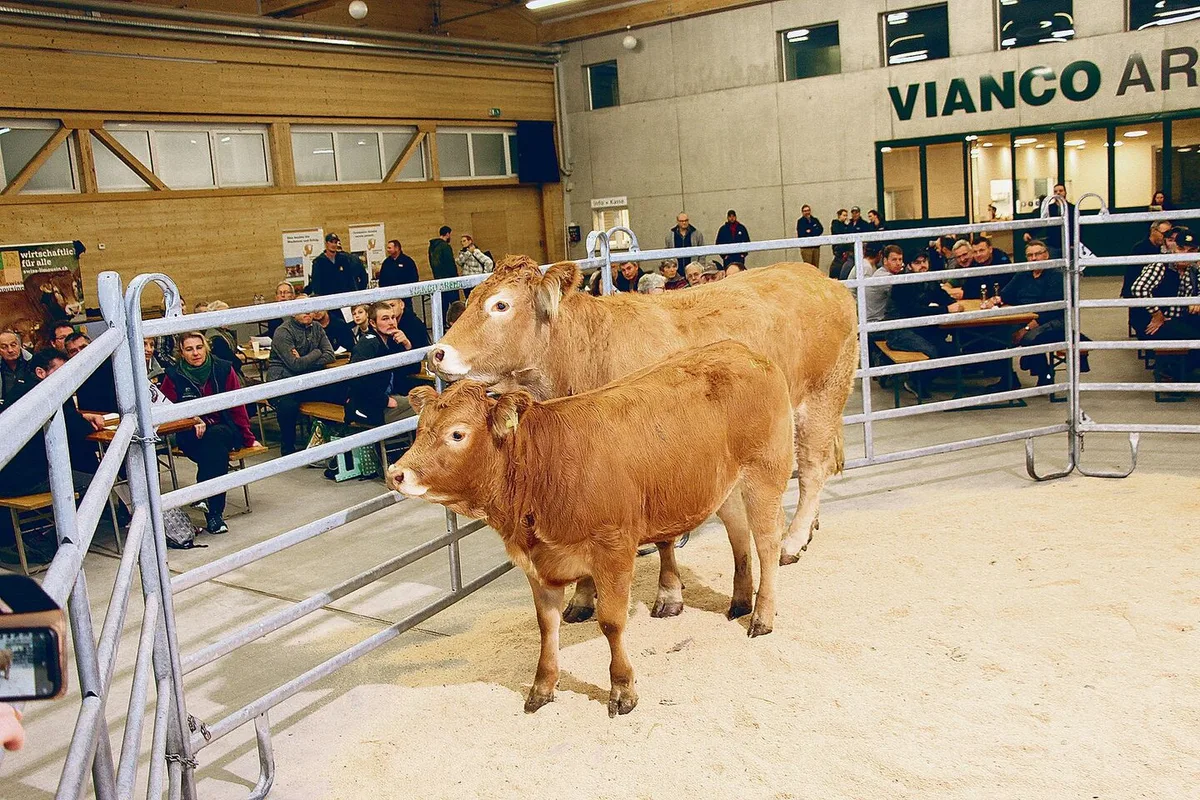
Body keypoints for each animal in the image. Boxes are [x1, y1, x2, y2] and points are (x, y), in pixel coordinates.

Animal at [388, 341, 795, 716]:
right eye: (420, 429)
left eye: (457, 434)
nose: (395, 473)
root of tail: (741, 349)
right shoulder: (537, 564)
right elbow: (546, 626)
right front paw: (542, 687)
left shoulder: (613, 551)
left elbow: (612, 623)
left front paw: (622, 689)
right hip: (725, 486)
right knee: (738, 533)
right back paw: (740, 601)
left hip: (766, 472)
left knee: (767, 542)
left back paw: (761, 617)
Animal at [428, 257, 858, 622]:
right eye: (471, 299)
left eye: (500, 305)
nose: (437, 353)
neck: (585, 356)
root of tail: (819, 278)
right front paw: (582, 599)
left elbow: (665, 540)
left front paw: (669, 594)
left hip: (821, 397)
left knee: (813, 469)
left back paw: (793, 540)